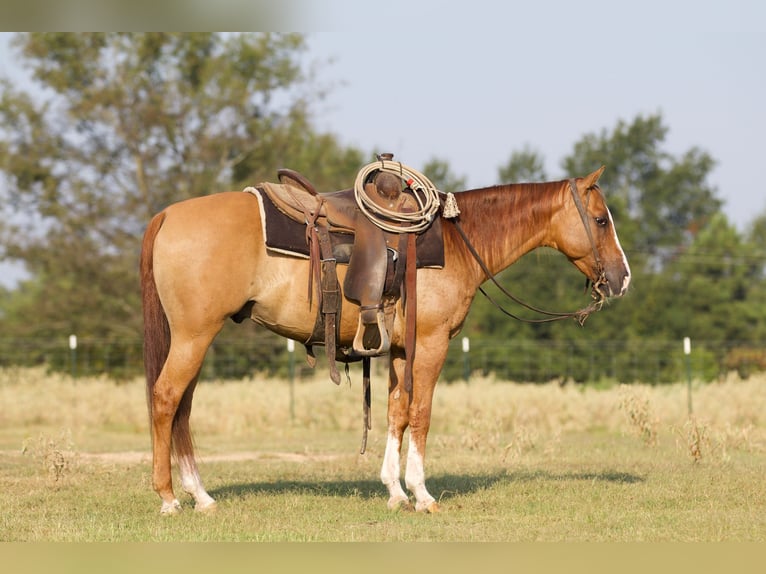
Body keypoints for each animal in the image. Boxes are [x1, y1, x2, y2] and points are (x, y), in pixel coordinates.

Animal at [141, 164, 632, 516]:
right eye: (600, 220)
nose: (622, 278)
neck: (455, 242)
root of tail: (166, 215)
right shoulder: (432, 344)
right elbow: (421, 414)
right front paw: (422, 493)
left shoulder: (398, 351)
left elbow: (397, 413)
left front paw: (395, 491)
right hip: (194, 336)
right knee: (166, 400)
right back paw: (168, 498)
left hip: (196, 338)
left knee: (182, 408)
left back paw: (201, 496)